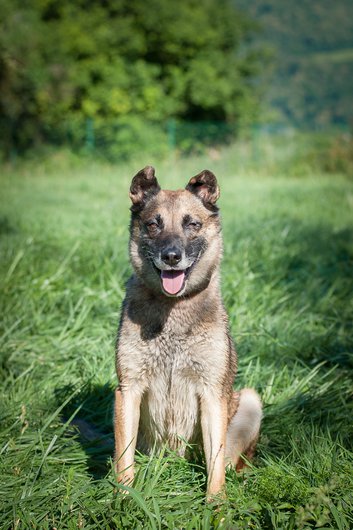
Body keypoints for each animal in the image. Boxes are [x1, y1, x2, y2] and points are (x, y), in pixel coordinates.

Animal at [113, 165, 262, 496]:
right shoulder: (127, 390)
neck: (174, 308)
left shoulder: (212, 395)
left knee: (234, 463)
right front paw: (125, 497)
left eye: (192, 224)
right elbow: (123, 458)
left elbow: (215, 464)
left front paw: (216, 503)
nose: (171, 257)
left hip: (249, 401)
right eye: (153, 225)